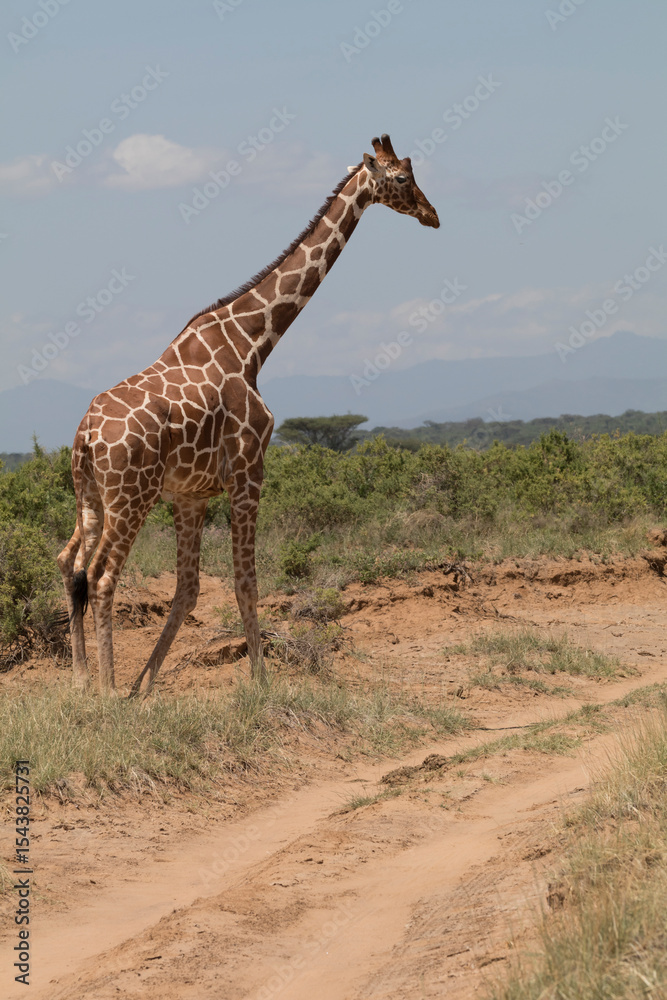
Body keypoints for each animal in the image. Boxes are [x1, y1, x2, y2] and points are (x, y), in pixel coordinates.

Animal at [57, 134, 439, 696]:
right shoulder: (248, 473)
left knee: (73, 565)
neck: (253, 343)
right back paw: (104, 686)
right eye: (400, 178)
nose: (432, 214)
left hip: (89, 493)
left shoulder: (191, 495)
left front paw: (144, 687)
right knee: (103, 574)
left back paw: (84, 680)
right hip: (130, 496)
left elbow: (189, 589)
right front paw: (260, 682)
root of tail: (85, 436)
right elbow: (246, 581)